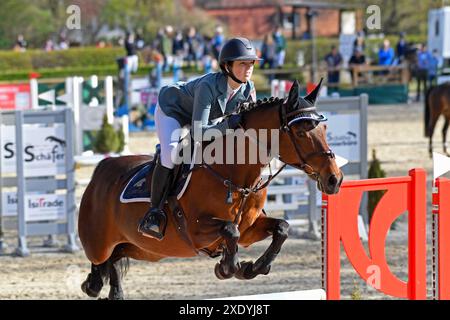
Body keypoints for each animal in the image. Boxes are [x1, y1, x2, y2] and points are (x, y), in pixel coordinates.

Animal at [78, 79, 344, 298]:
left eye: (324, 129)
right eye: (300, 132)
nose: (334, 179)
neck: (235, 174)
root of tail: (101, 169)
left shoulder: (249, 230)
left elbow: (282, 227)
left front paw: (253, 268)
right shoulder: (196, 231)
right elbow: (229, 230)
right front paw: (228, 268)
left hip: (144, 249)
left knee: (114, 261)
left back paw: (108, 288)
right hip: (100, 245)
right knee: (101, 262)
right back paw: (92, 284)